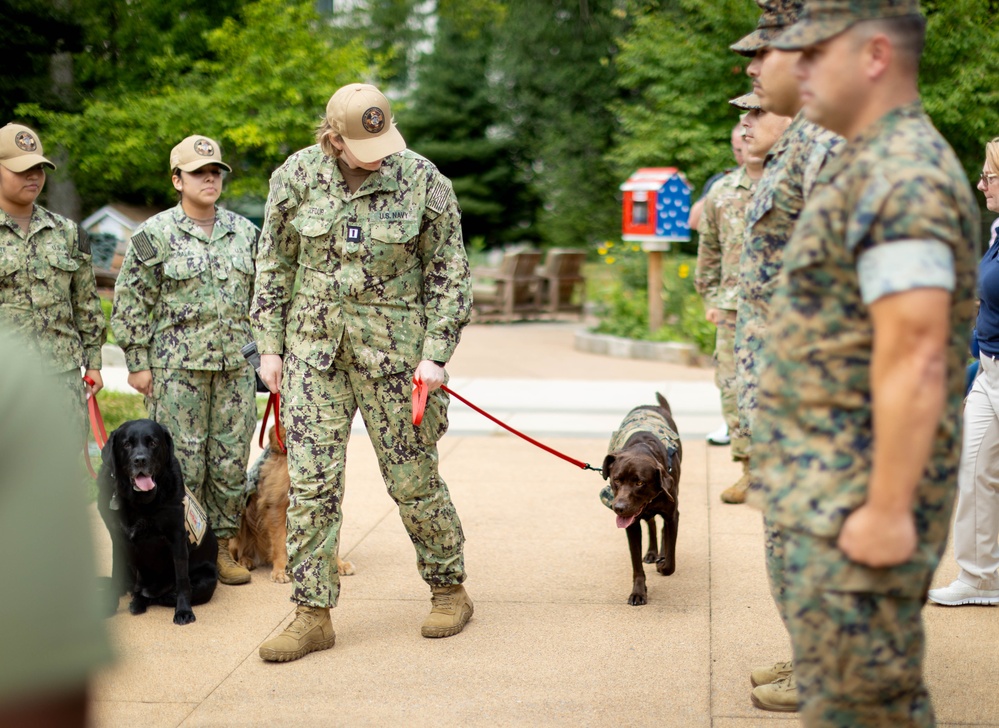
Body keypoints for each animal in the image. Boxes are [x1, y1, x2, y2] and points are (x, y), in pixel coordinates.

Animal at [96, 418, 218, 624]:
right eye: (126, 444)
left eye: (153, 442)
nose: (140, 460)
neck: (137, 502)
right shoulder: (117, 539)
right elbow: (115, 575)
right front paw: (110, 605)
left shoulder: (177, 538)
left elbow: (182, 581)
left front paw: (183, 611)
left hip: (208, 579)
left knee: (163, 595)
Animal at [229, 424, 356, 584]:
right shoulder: (276, 503)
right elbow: (279, 541)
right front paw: (281, 570)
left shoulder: (330, 503)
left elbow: (332, 540)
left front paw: (338, 565)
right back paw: (244, 561)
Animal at [600, 396, 680, 604]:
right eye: (616, 479)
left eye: (639, 482)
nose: (618, 507)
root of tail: (652, 405)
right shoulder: (632, 525)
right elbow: (636, 564)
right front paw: (638, 592)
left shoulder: (672, 515)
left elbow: (671, 563)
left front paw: (663, 563)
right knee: (651, 523)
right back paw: (652, 552)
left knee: (661, 528)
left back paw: (659, 554)